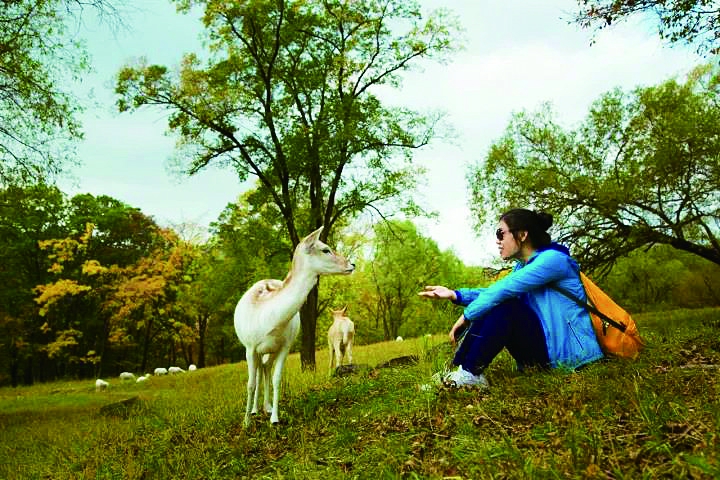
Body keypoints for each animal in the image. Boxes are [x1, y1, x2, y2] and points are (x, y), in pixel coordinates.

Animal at [233, 227, 354, 426]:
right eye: (325, 249)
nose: (352, 264)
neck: (269, 320)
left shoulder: (285, 346)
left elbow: (277, 378)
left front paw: (275, 418)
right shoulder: (250, 347)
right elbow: (250, 383)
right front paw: (246, 422)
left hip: (271, 350)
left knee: (266, 367)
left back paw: (266, 407)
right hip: (257, 350)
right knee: (258, 372)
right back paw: (255, 410)